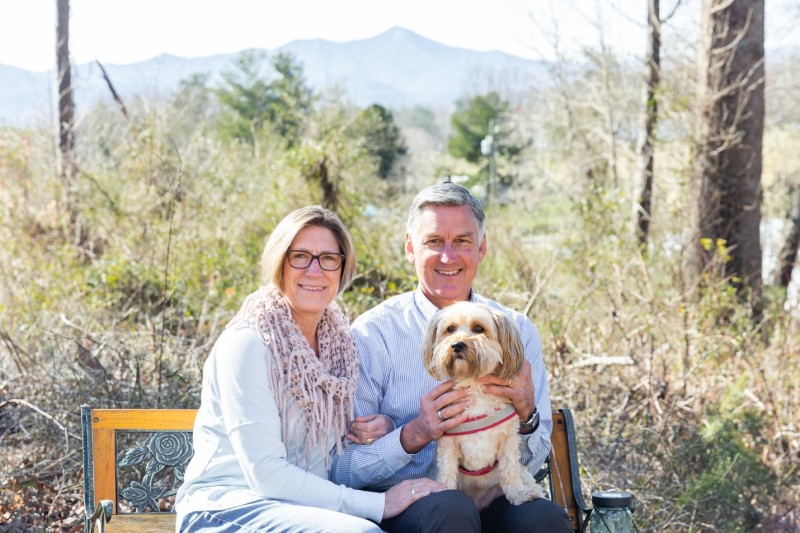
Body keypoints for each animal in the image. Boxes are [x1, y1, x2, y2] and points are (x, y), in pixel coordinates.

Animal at [418, 302, 544, 504]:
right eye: (450, 329)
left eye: (479, 329)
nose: (457, 345)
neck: (473, 383)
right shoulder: (448, 444)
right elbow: (447, 471)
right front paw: (445, 491)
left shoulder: (508, 440)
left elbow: (510, 470)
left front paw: (518, 494)